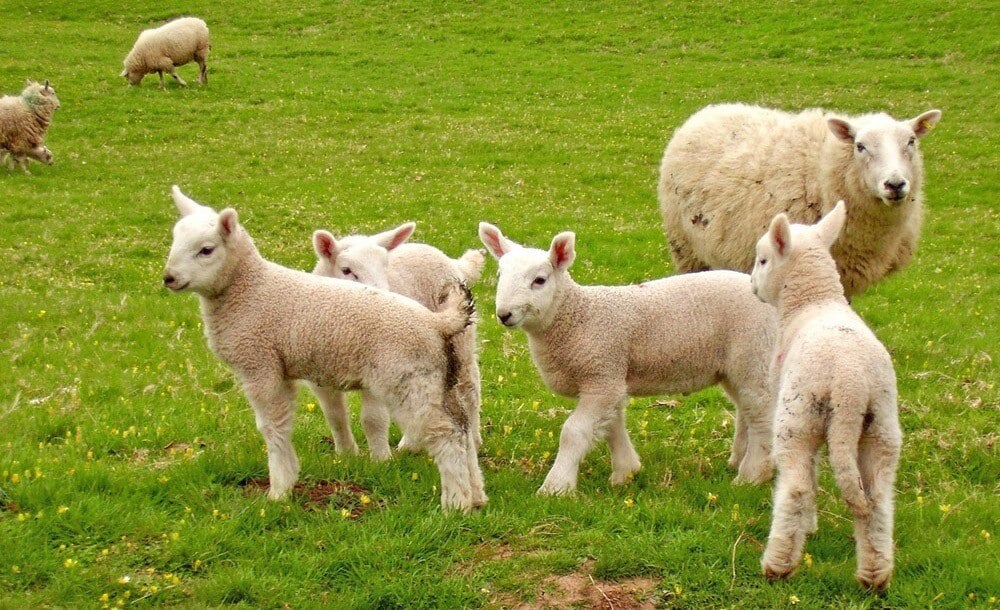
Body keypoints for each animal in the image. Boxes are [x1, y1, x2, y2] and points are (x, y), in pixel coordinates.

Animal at [310, 222, 486, 456]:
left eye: (385, 267)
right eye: (346, 270)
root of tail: (452, 261)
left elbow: (373, 419)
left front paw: (380, 458)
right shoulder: (318, 378)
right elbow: (335, 417)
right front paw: (346, 454)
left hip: (460, 339)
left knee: (470, 386)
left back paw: (473, 439)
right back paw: (410, 444)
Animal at [480, 222, 776, 494]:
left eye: (540, 280)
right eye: (499, 274)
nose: (504, 314)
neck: (577, 316)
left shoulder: (602, 375)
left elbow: (573, 432)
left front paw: (556, 486)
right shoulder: (610, 377)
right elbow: (612, 425)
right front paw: (626, 471)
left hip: (754, 353)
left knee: (761, 415)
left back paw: (751, 475)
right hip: (735, 366)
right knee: (746, 410)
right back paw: (738, 460)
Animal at [752, 201, 908, 588]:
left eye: (762, 260)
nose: (752, 286)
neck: (813, 301)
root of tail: (850, 381)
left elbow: (810, 475)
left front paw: (807, 528)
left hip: (797, 415)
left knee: (796, 488)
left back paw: (778, 565)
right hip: (881, 424)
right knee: (877, 497)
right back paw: (874, 575)